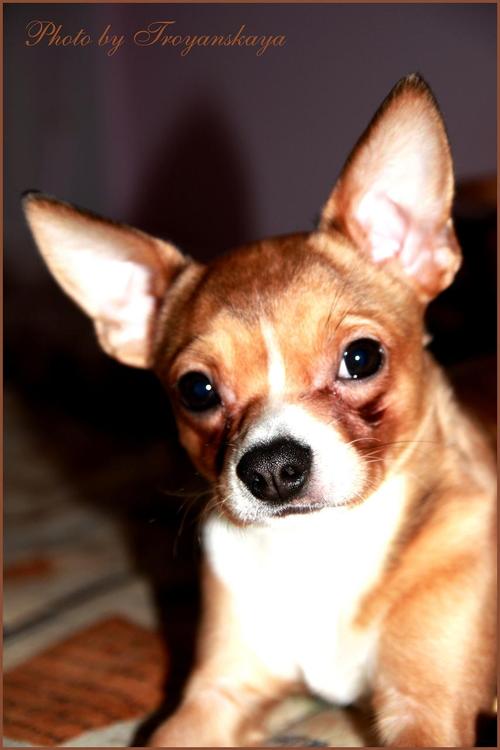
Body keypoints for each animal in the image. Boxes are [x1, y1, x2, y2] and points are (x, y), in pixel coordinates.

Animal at [24, 74, 496, 747]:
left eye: (362, 358)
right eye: (196, 390)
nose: (272, 468)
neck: (318, 546)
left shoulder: (426, 714)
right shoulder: (213, 698)